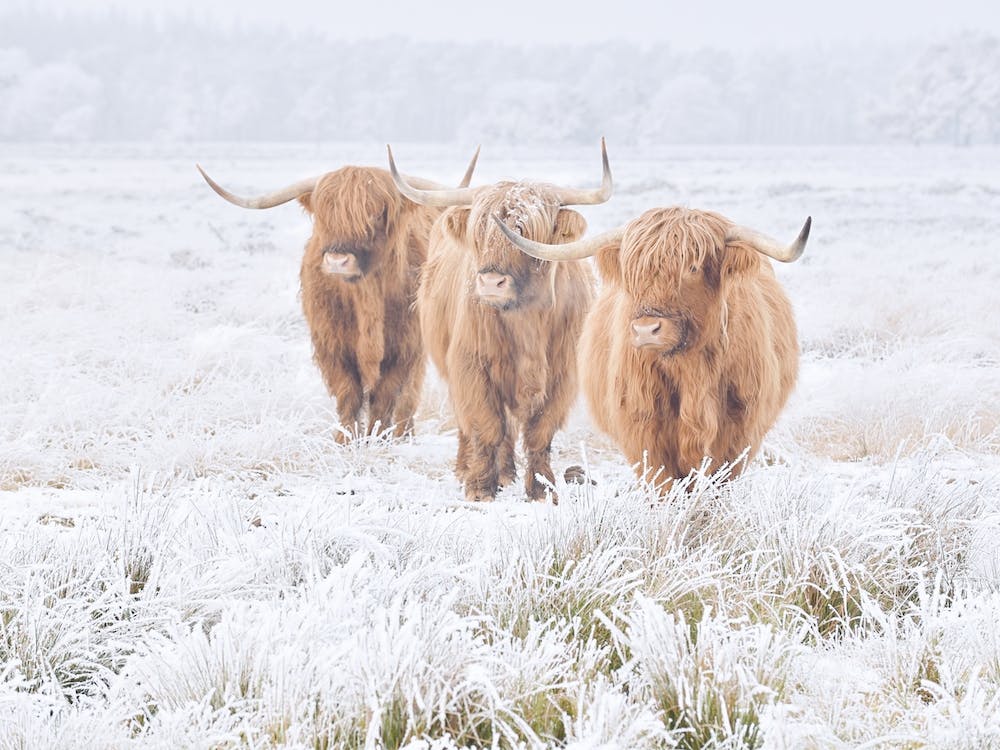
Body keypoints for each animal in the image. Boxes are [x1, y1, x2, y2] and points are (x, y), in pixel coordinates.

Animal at [197, 150, 479, 442]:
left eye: (376, 213)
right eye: (324, 215)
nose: (337, 261)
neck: (367, 298)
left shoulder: (405, 346)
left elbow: (386, 396)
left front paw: (379, 439)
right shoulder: (332, 344)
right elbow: (348, 394)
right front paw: (345, 440)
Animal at [386, 141, 612, 502]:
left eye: (525, 231)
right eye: (479, 231)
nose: (491, 282)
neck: (527, 321)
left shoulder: (562, 375)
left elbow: (539, 432)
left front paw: (543, 488)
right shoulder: (471, 365)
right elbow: (486, 425)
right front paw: (479, 487)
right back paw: (472, 469)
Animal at [495, 206, 810, 489]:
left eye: (692, 267)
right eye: (632, 271)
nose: (646, 329)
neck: (691, 373)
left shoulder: (739, 432)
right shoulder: (643, 430)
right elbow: (663, 486)